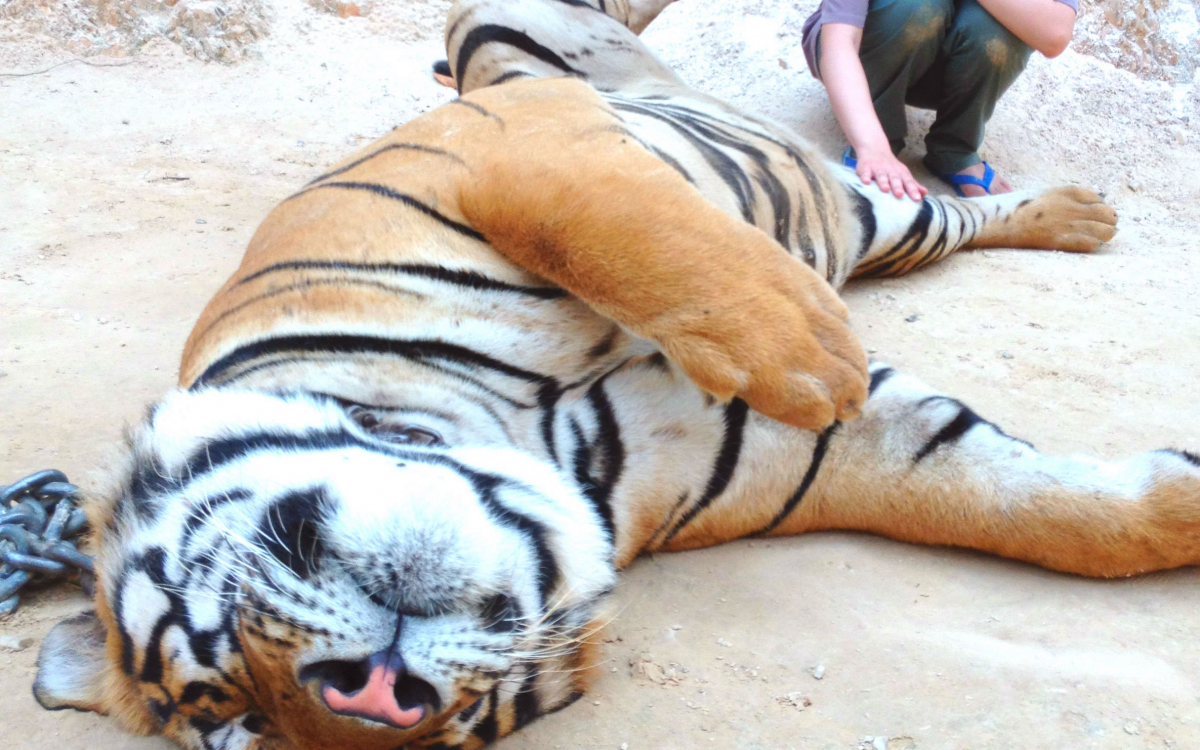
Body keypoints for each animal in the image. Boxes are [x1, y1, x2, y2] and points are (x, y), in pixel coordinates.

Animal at [30, 0, 1197, 749]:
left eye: (215, 644)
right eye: (244, 722)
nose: (372, 699)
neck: (515, 436)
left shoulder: (519, 150)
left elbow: (622, 229)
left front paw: (817, 356)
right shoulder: (801, 456)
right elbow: (1026, 505)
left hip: (513, 41)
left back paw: (1071, 216)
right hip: (881, 227)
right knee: (936, 222)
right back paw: (1077, 218)